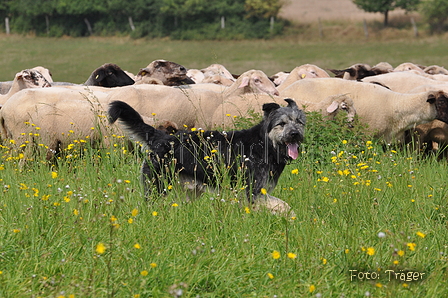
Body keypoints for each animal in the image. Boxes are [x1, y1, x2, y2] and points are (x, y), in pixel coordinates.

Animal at [107, 99, 306, 215]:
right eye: (281, 124)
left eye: (299, 122)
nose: (295, 134)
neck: (264, 145)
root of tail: (161, 137)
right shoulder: (253, 193)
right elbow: (285, 207)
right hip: (157, 187)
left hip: (189, 191)